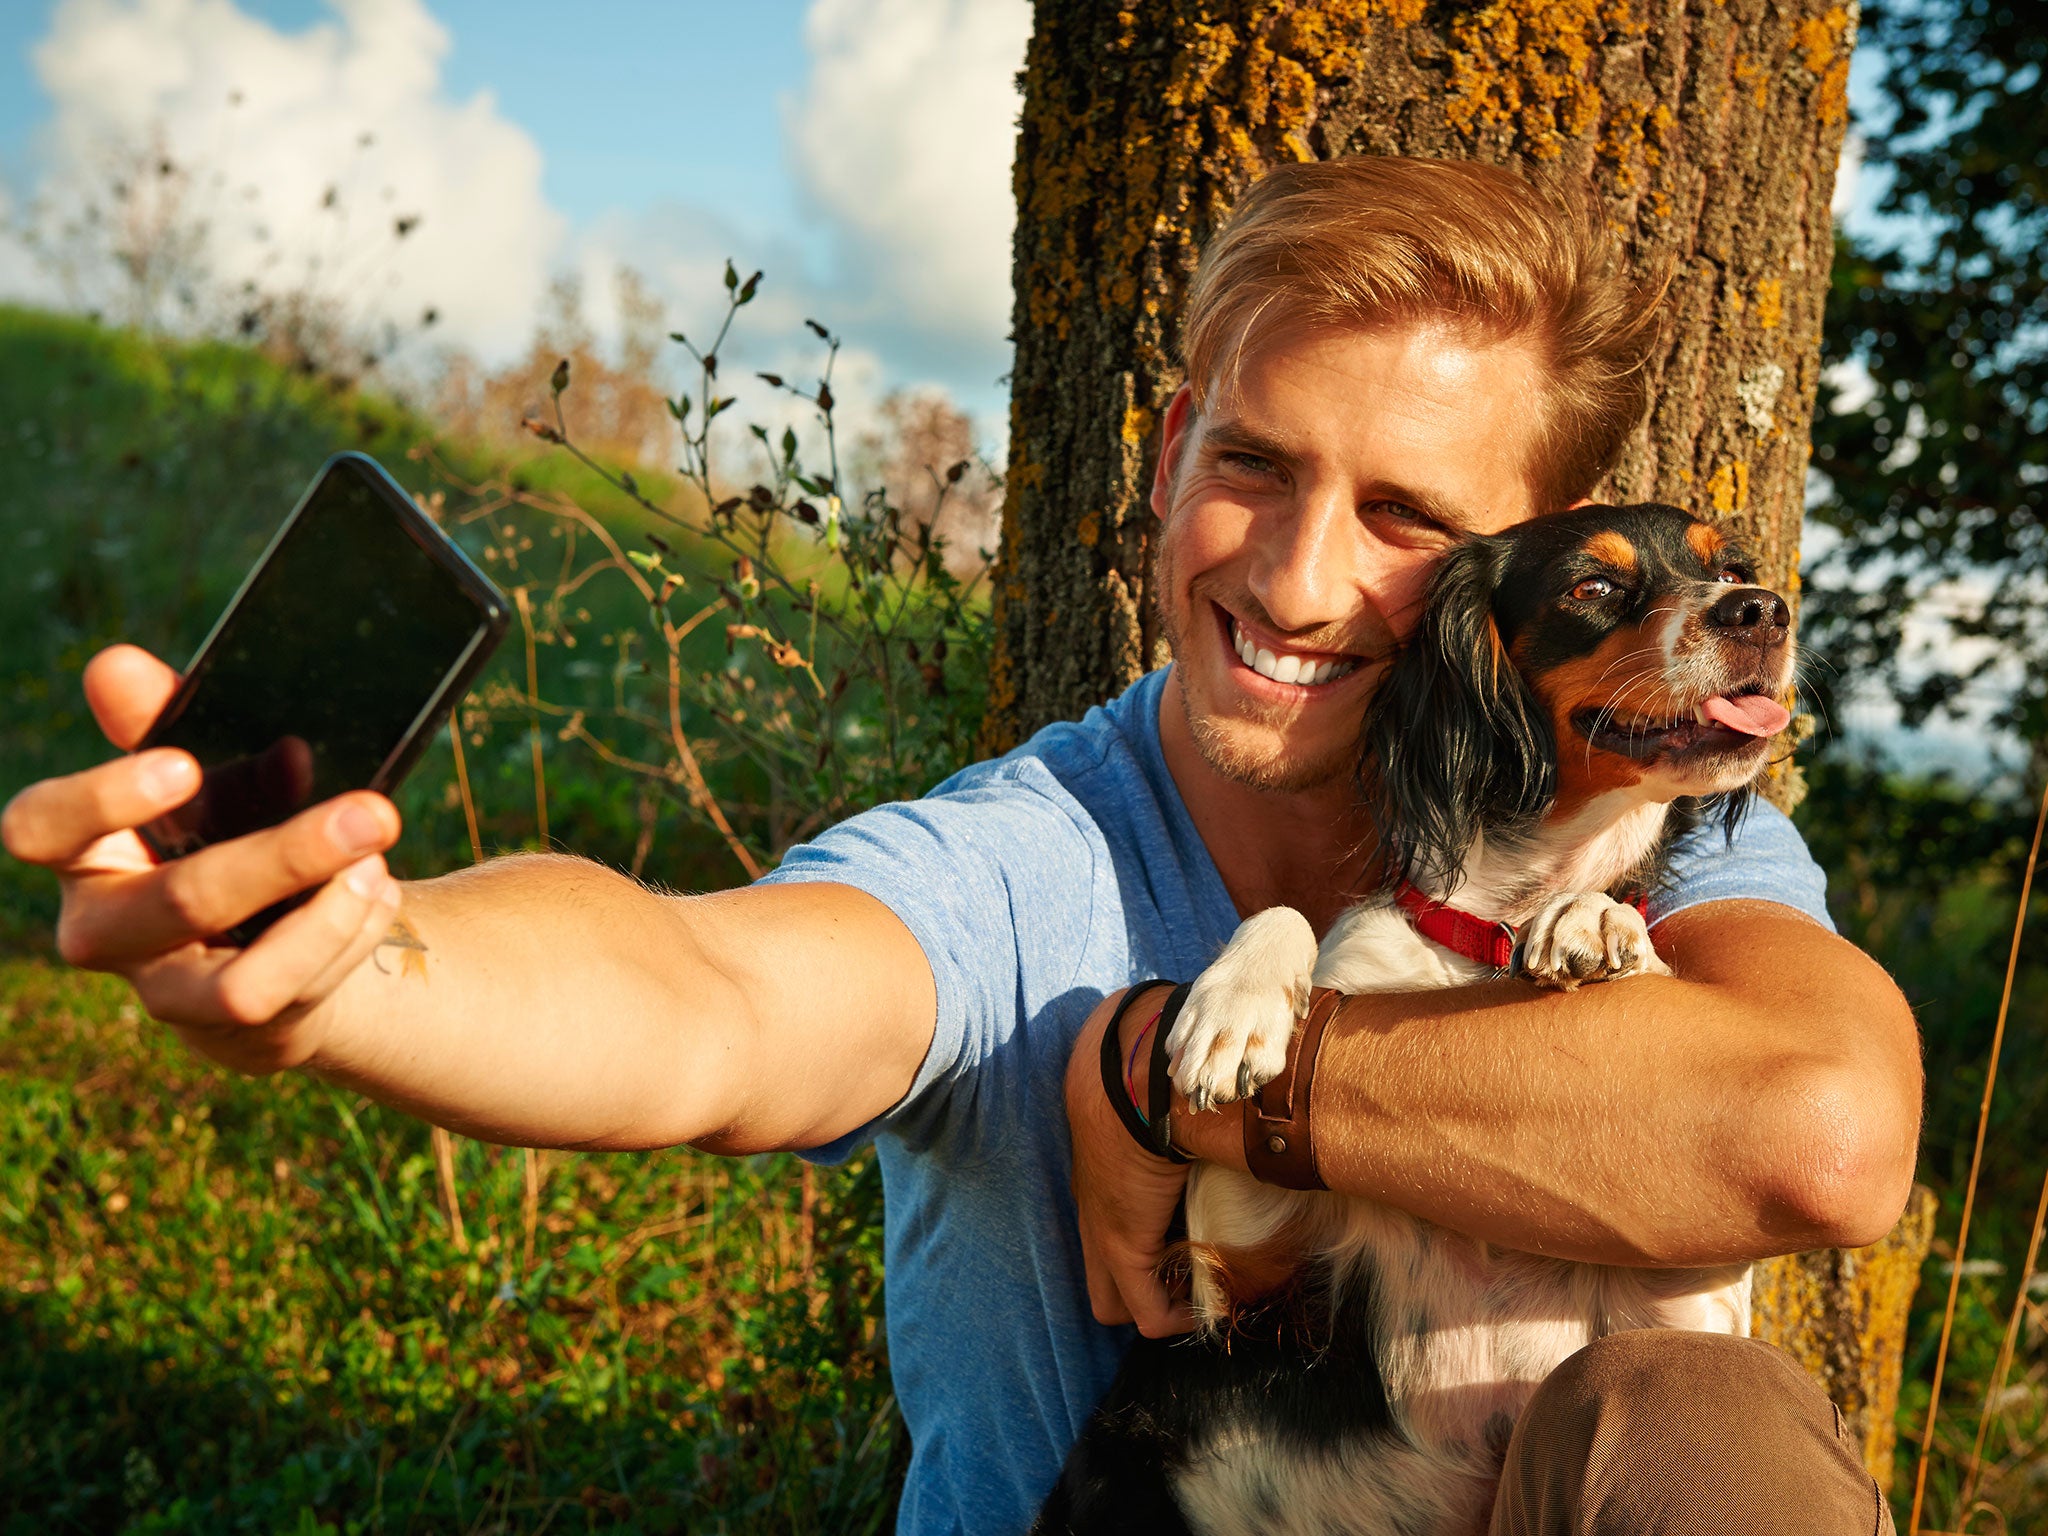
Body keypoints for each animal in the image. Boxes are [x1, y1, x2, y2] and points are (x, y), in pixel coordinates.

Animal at [1040, 505, 1794, 1536]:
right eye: (1593, 586)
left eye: (1731, 566)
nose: (1764, 609)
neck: (1493, 935)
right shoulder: (1244, 1266)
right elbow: (1290, 919)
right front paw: (1233, 1011)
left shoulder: (1684, 1307)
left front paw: (1599, 921)